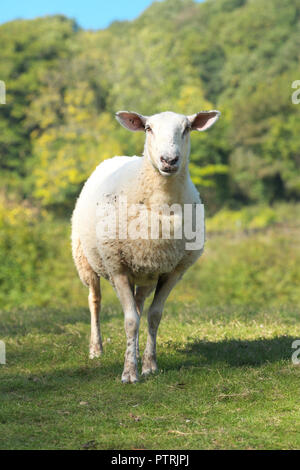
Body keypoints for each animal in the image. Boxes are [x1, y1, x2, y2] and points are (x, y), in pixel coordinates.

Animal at [71, 110, 219, 382]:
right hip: (86, 259)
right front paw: (129, 373)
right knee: (95, 300)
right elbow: (130, 321)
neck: (161, 204)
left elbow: (153, 316)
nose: (169, 160)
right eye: (148, 128)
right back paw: (96, 349)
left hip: (145, 273)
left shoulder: (173, 271)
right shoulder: (117, 267)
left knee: (139, 306)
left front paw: (150, 365)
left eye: (187, 128)